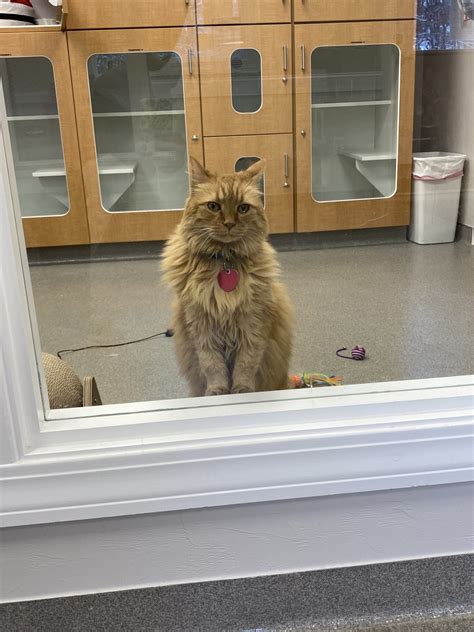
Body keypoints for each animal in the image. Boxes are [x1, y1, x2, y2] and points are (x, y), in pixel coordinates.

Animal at [162, 157, 292, 396]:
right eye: (213, 206)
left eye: (243, 208)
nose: (230, 223)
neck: (225, 261)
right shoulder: (200, 325)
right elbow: (212, 365)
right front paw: (217, 392)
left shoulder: (253, 323)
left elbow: (246, 363)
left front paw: (242, 390)